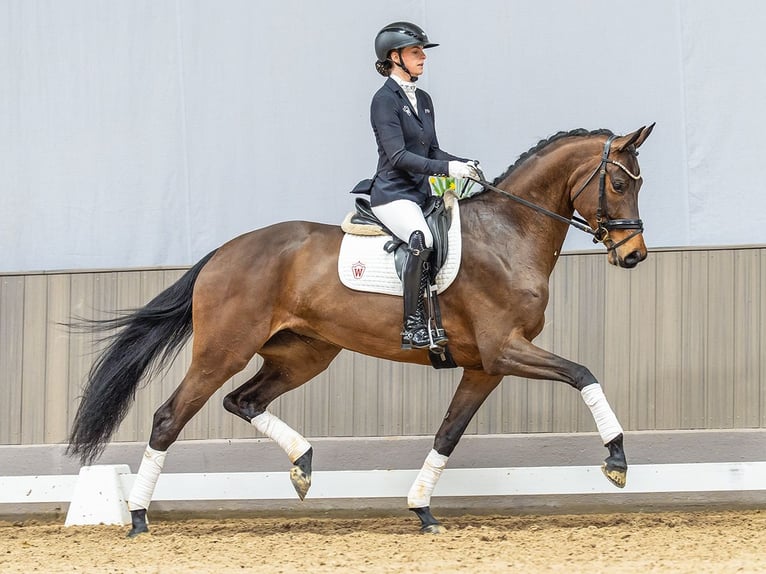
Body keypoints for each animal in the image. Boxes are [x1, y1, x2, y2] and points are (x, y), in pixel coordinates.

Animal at [67, 124, 655, 537]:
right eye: (618, 183)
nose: (633, 255)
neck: (508, 234)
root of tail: (223, 252)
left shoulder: (484, 366)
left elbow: (448, 434)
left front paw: (422, 510)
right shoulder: (505, 350)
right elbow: (583, 373)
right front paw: (617, 460)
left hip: (303, 354)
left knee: (244, 401)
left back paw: (303, 465)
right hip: (222, 351)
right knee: (170, 417)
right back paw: (138, 517)